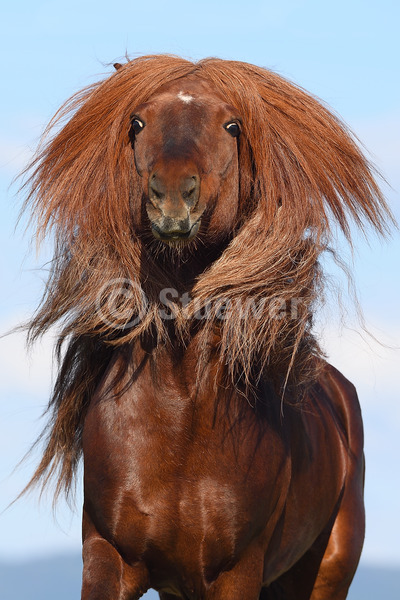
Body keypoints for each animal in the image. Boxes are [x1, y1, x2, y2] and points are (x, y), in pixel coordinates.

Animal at [20, 56, 392, 600]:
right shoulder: (111, 557)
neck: (180, 420)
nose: (173, 195)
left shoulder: (234, 572)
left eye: (232, 125)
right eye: (137, 123)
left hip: (326, 571)